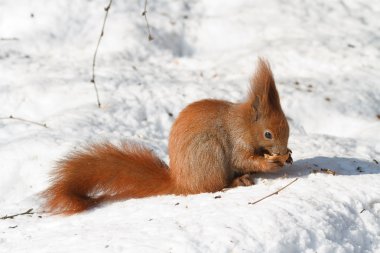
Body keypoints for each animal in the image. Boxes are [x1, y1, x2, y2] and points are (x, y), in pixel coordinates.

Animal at [43, 58, 294, 214]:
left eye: (288, 128)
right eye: (268, 134)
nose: (282, 152)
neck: (244, 123)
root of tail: (180, 182)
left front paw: (288, 156)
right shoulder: (237, 139)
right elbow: (241, 159)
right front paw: (269, 163)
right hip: (209, 155)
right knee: (212, 186)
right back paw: (236, 181)